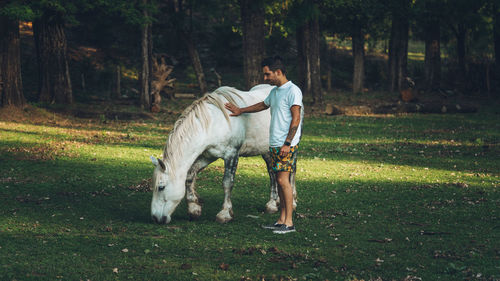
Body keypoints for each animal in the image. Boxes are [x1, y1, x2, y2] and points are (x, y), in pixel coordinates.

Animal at [148, 83, 296, 223]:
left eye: (161, 187)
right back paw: (273, 204)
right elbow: (190, 176)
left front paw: (225, 214)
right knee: (272, 172)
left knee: (292, 171)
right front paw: (194, 209)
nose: (155, 218)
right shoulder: (208, 156)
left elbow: (227, 183)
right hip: (266, 150)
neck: (214, 122)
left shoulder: (232, 154)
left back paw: (292, 203)